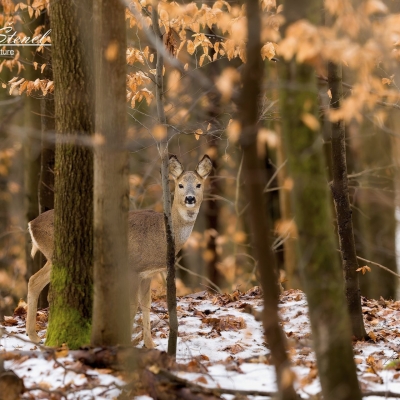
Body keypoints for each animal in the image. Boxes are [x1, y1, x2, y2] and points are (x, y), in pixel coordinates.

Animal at [26, 155, 214, 348]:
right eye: (180, 185)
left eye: (199, 184)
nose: (190, 199)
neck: (161, 233)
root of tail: (32, 224)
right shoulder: (132, 268)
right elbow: (132, 305)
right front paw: (127, 343)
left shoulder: (148, 273)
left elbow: (146, 304)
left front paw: (150, 345)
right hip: (56, 254)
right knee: (39, 283)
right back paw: (38, 336)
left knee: (34, 281)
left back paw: (34, 336)